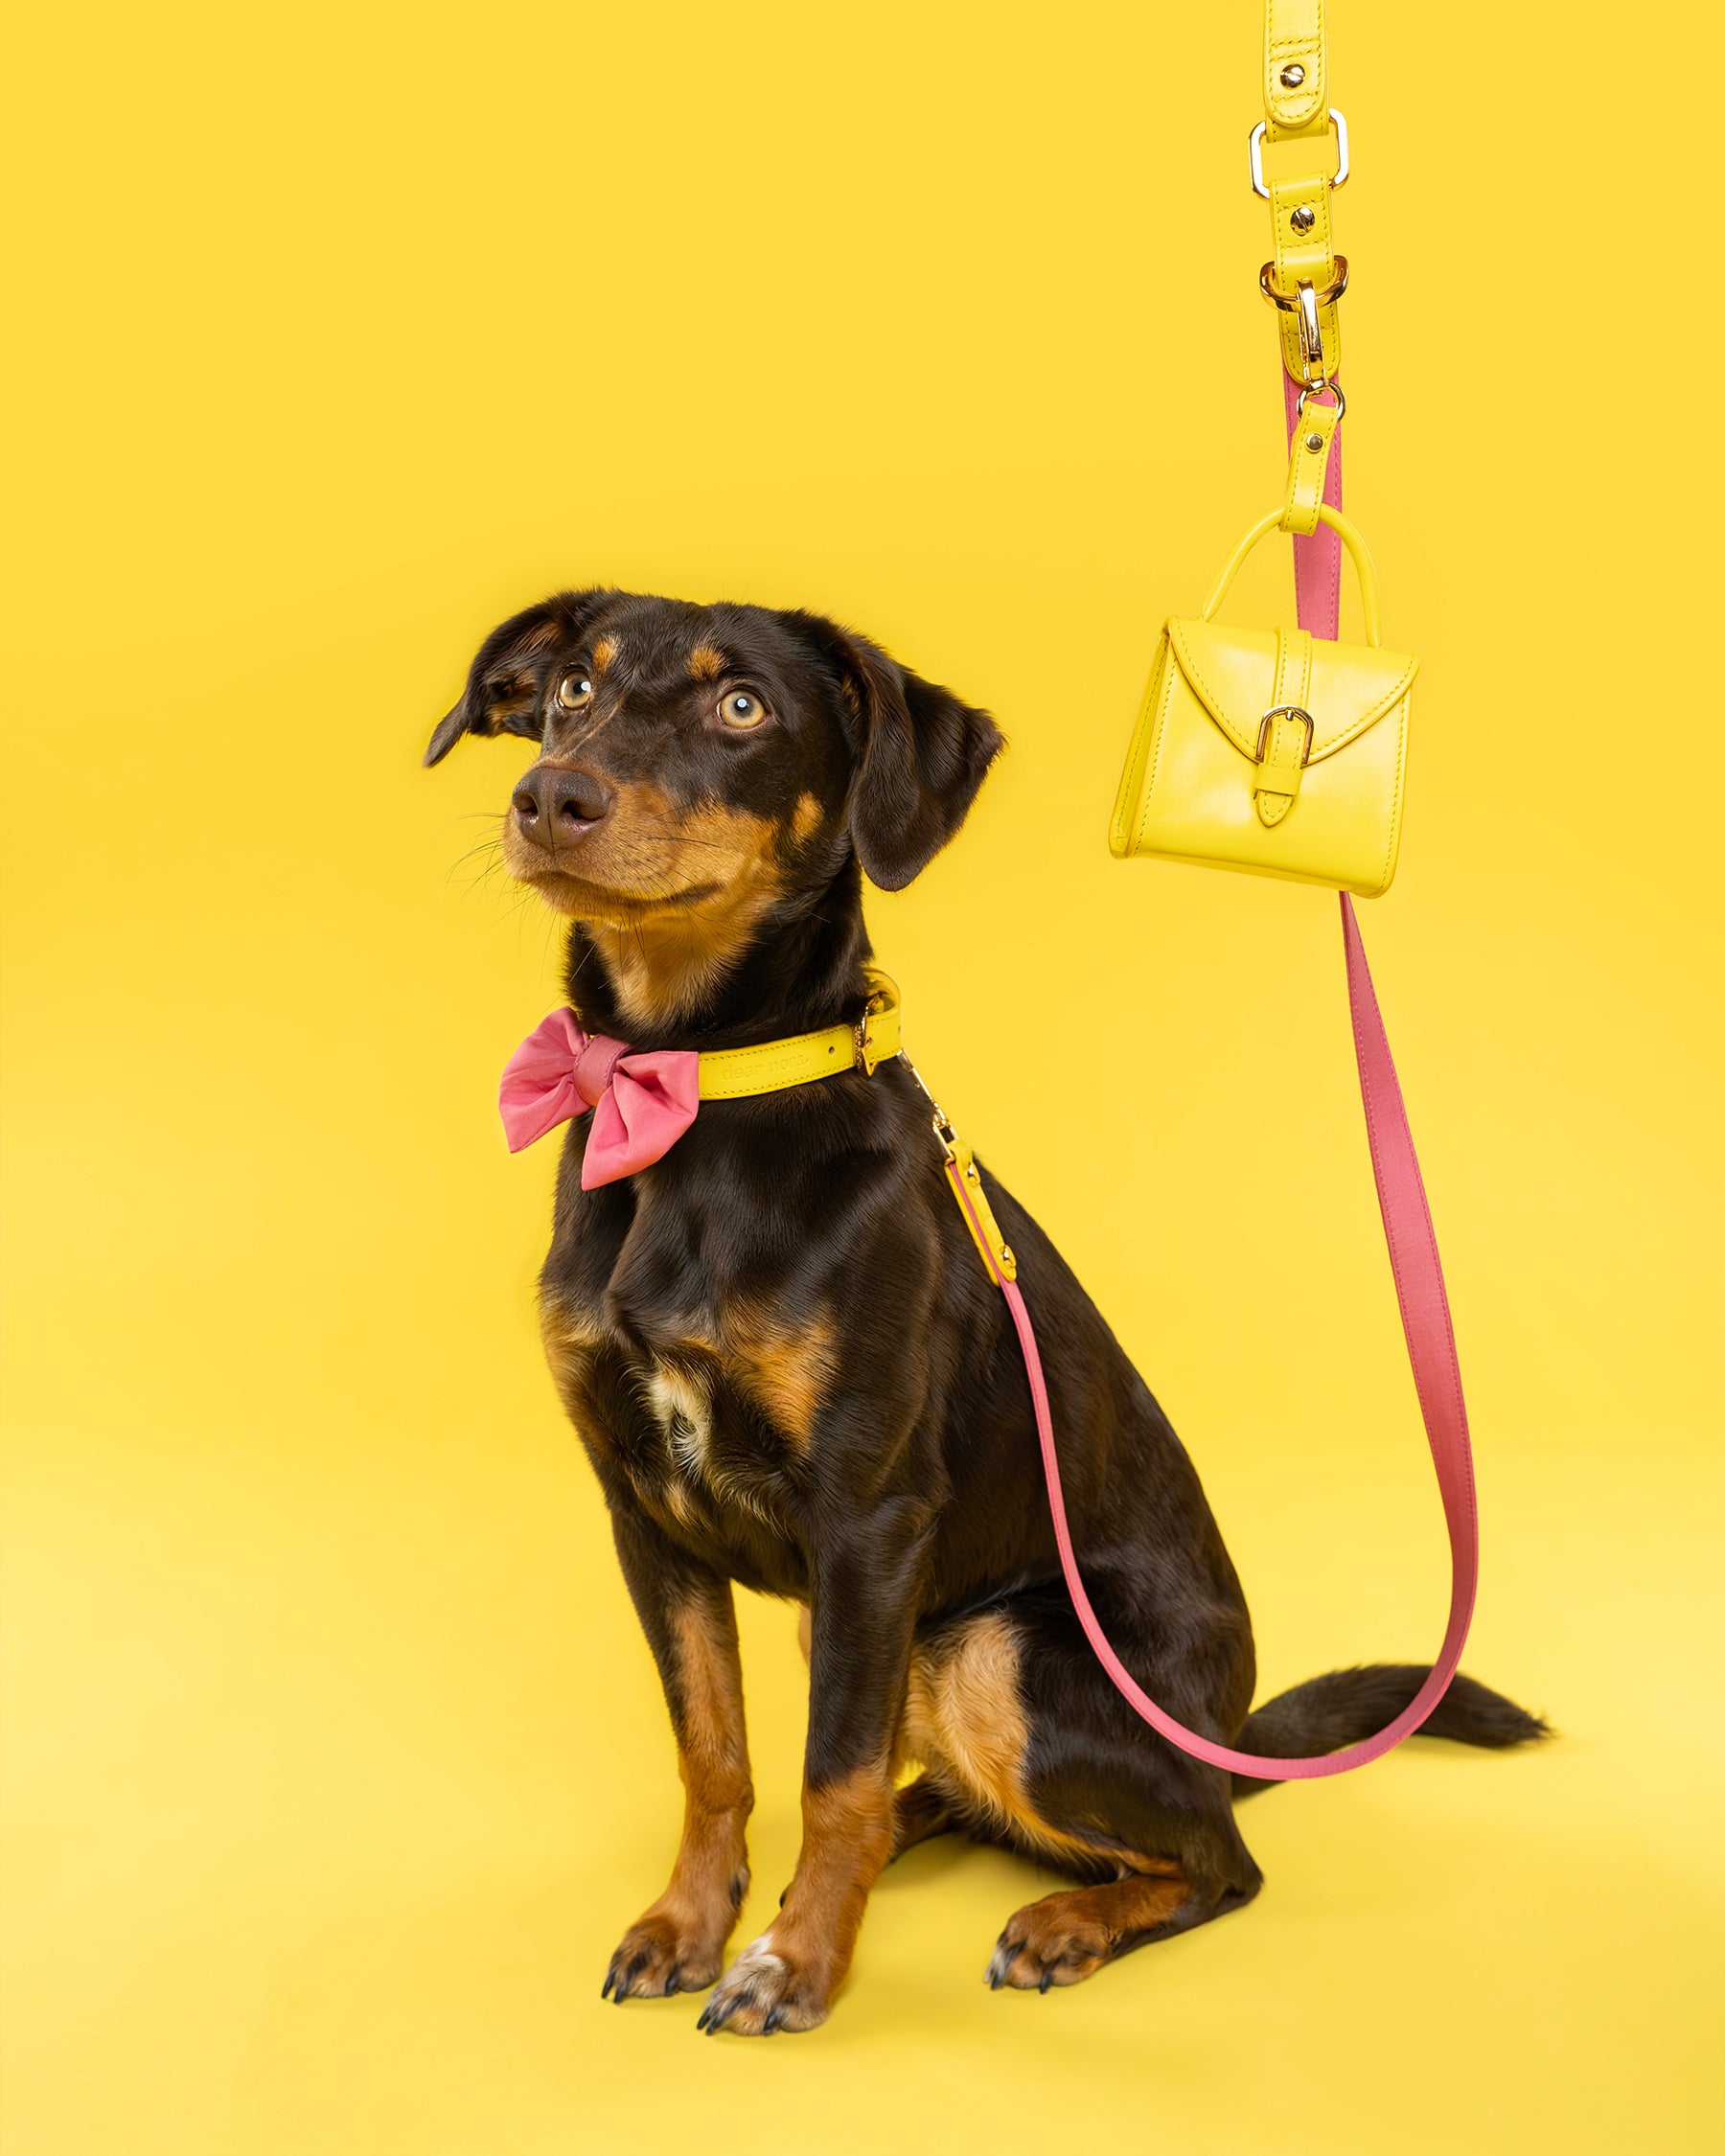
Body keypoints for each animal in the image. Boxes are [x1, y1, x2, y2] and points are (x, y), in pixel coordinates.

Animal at [425, 590, 1544, 2035]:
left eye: (743, 708)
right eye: (570, 686)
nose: (550, 797)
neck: (690, 1097)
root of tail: (1226, 1733)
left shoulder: (869, 1518)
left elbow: (828, 1774)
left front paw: (795, 1964)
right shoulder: (645, 1511)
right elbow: (717, 1752)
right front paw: (691, 1923)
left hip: (988, 1650)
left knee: (1214, 1857)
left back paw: (1063, 1921)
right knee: (958, 1797)